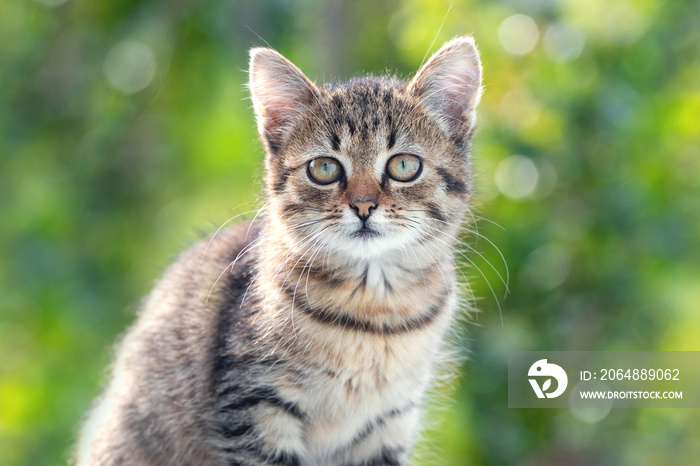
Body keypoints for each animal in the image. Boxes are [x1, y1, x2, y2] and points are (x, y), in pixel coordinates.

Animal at [75, 34, 482, 464]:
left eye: (404, 166)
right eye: (324, 169)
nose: (363, 206)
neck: (372, 310)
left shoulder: (390, 422)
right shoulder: (255, 407)